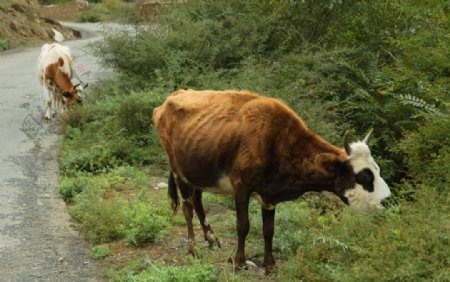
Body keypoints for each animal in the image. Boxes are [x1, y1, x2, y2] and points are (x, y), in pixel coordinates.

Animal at [153, 89, 392, 272]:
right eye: (364, 176)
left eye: (377, 169)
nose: (387, 200)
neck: (277, 140)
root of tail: (170, 99)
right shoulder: (241, 187)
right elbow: (243, 226)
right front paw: (239, 262)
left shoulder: (269, 194)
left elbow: (269, 229)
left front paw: (270, 264)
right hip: (178, 170)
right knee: (187, 207)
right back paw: (192, 248)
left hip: (198, 170)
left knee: (198, 202)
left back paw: (211, 239)